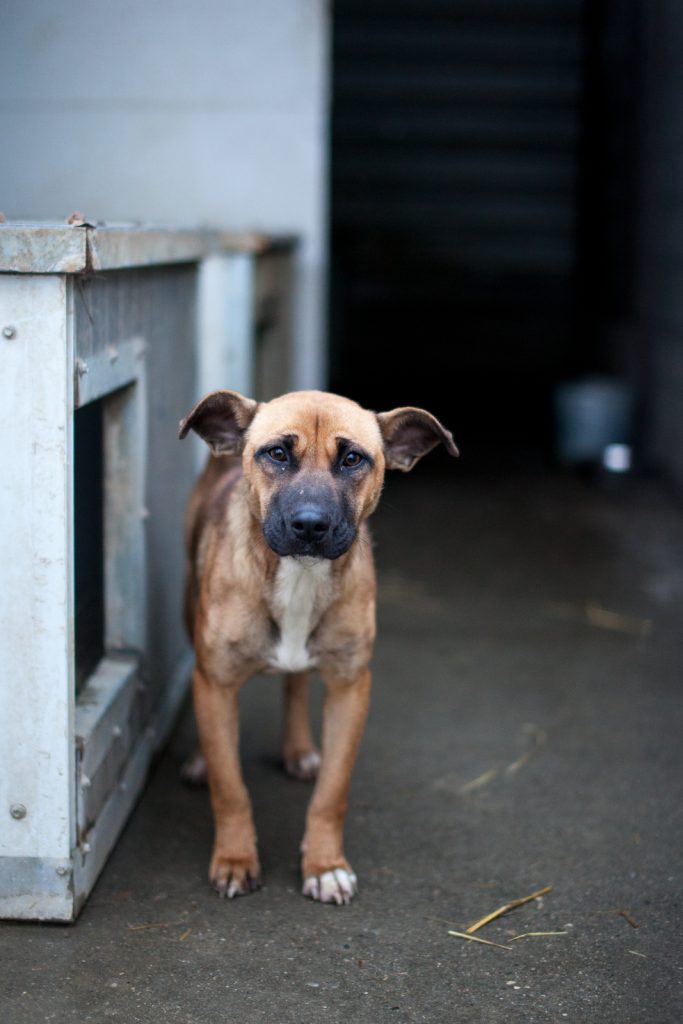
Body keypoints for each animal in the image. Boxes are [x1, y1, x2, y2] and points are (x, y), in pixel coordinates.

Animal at [179, 389, 456, 905]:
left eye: (352, 459)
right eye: (276, 454)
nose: (310, 525)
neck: (298, 577)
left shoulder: (351, 689)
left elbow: (332, 792)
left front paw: (325, 865)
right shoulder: (217, 682)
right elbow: (230, 789)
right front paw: (235, 859)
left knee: (296, 683)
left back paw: (299, 749)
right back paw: (202, 759)